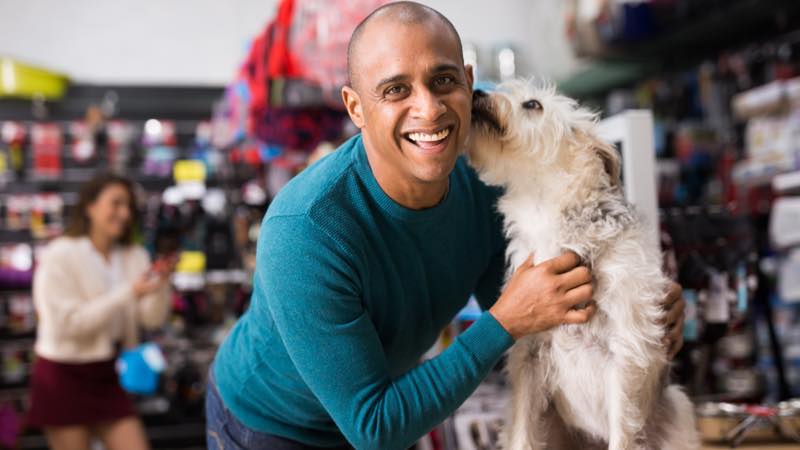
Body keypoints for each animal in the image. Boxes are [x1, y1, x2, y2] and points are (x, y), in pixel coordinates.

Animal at [466, 81, 696, 450]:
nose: (476, 93)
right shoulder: (527, 356)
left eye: (533, 104)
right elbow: (522, 434)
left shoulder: (625, 351)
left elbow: (622, 431)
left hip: (679, 407)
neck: (544, 211)